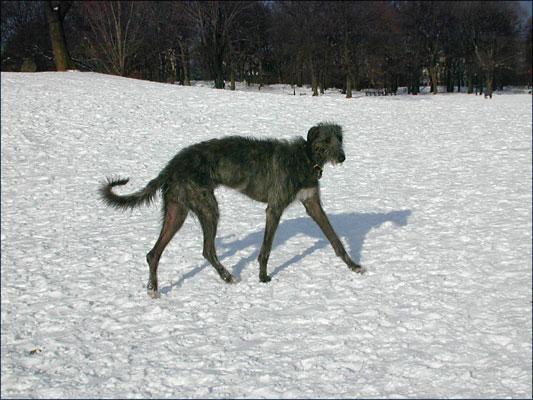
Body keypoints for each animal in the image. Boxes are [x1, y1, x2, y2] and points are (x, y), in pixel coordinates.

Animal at [100, 122, 364, 296]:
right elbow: (266, 248)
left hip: (178, 210)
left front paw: (353, 265)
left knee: (154, 253)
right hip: (208, 207)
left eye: (339, 138)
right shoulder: (275, 207)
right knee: (207, 249)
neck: (306, 157)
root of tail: (172, 165)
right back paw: (227, 277)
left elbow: (334, 239)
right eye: (325, 140)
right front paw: (263, 277)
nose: (342, 157)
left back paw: (153, 288)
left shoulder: (312, 204)